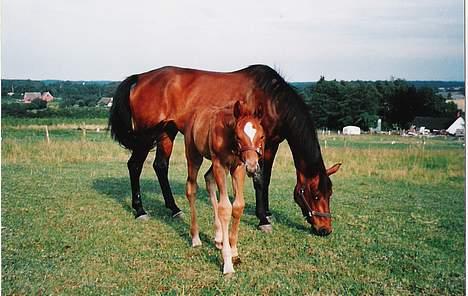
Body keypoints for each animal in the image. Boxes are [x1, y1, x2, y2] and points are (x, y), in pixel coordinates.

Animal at [183, 100, 264, 274]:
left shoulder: (238, 167)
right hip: (194, 157)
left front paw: (233, 251)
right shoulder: (220, 165)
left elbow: (238, 206)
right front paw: (227, 263)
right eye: (238, 136)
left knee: (209, 179)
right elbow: (225, 208)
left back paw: (219, 237)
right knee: (191, 188)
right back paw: (196, 237)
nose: (253, 167)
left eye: (261, 136)